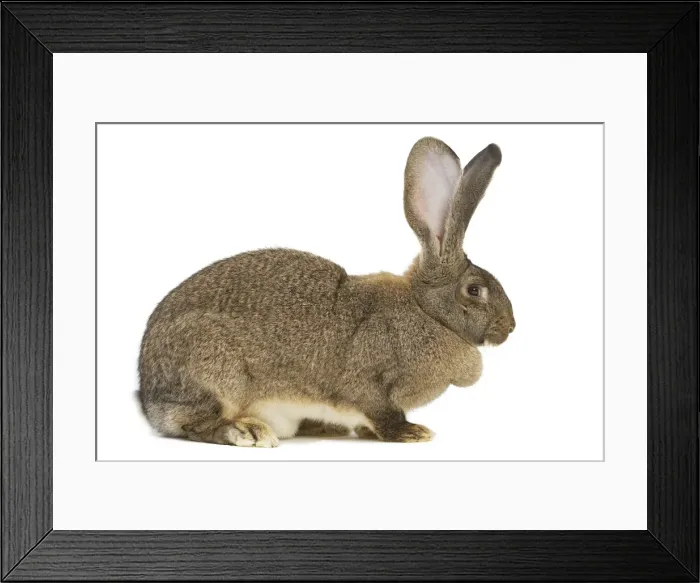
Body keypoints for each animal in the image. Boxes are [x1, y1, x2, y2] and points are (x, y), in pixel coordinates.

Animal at [138, 137, 515, 447]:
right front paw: (412, 433)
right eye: (474, 290)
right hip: (215, 372)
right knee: (195, 424)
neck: (428, 312)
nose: (510, 327)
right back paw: (247, 431)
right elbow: (382, 412)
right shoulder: (370, 382)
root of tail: (148, 397)